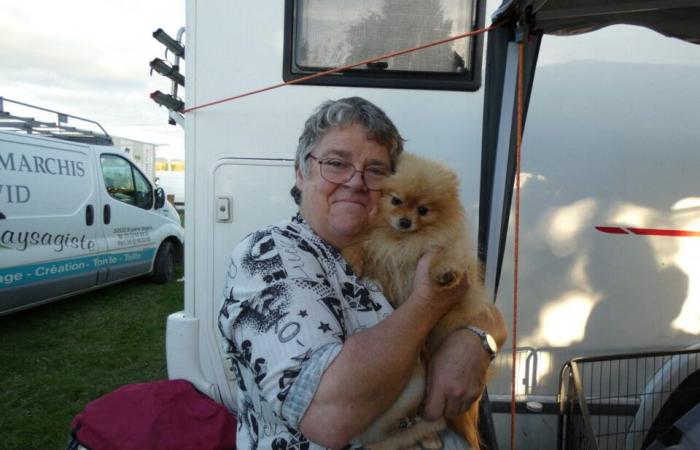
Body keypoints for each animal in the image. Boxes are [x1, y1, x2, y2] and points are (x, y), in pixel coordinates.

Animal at [344, 152, 504, 450]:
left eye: (423, 210)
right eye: (395, 201)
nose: (405, 222)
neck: (401, 239)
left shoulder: (443, 248)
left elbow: (443, 254)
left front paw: (445, 273)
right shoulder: (379, 251)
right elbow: (361, 247)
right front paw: (352, 258)